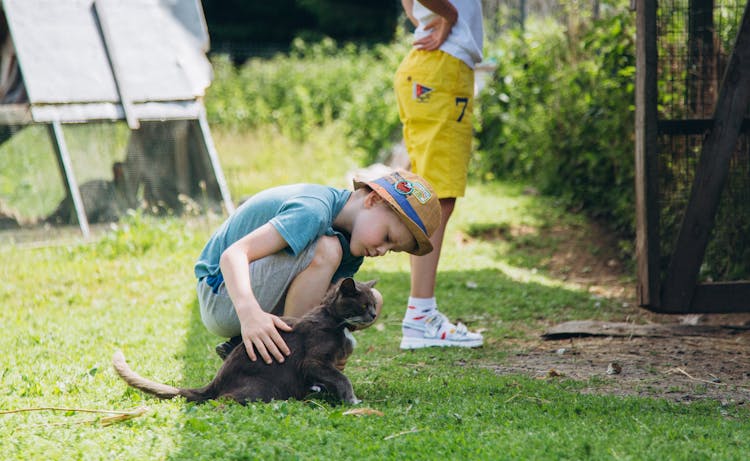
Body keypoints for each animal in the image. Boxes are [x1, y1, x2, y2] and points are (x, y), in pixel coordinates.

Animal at [114, 276, 378, 402]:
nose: (375, 314)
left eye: (374, 304)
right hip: (263, 387)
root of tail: (215, 382)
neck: (337, 322)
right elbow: (341, 378)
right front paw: (352, 400)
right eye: (365, 305)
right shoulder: (314, 360)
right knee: (224, 401)